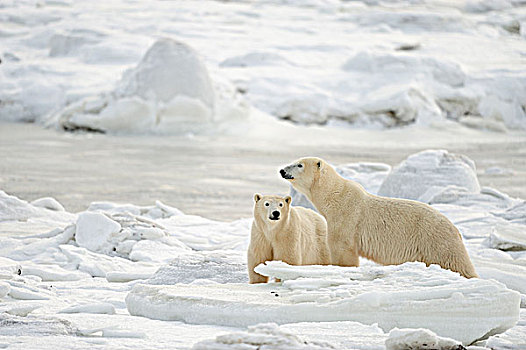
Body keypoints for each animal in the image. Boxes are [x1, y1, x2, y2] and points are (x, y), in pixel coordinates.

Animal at [282, 157, 480, 278]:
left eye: (299, 165)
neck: (335, 197)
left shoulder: (347, 218)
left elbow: (343, 249)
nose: (282, 170)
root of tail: (455, 229)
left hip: (436, 241)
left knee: (456, 263)